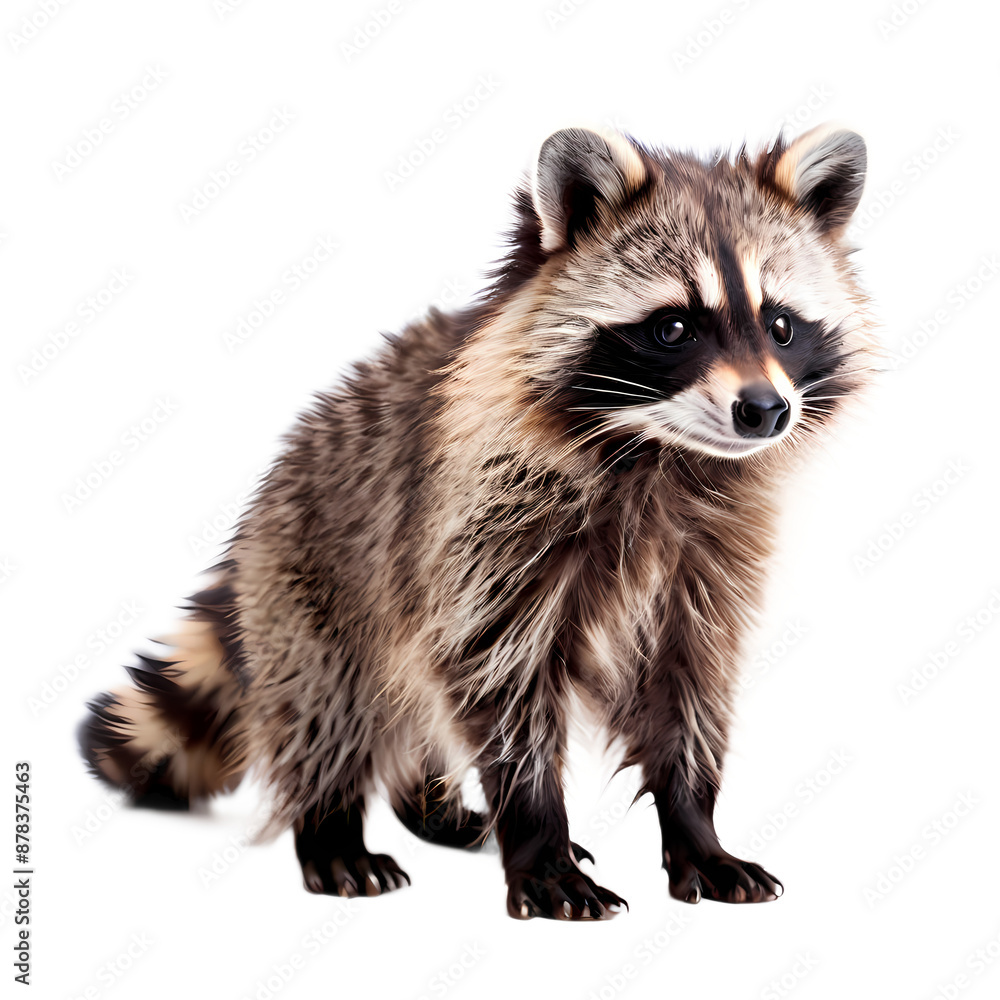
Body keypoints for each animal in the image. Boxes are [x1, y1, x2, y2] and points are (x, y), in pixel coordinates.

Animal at [79, 123, 875, 920]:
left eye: (781, 324)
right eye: (673, 326)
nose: (765, 410)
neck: (659, 452)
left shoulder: (709, 560)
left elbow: (688, 688)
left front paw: (694, 825)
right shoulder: (484, 528)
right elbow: (497, 678)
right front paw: (537, 834)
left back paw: (426, 801)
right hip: (312, 570)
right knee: (328, 697)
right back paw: (331, 821)